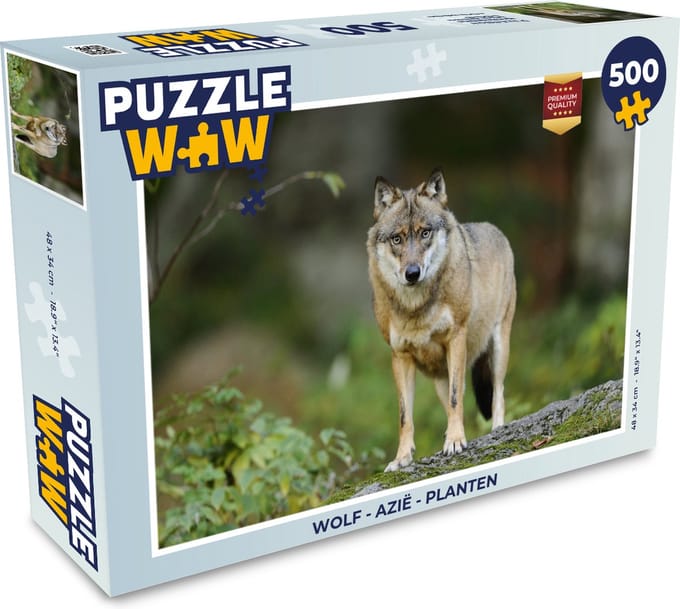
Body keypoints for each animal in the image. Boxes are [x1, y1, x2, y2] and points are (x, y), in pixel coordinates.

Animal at [367, 169, 516, 472]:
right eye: (397, 239)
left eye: (425, 232)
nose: (412, 273)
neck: (416, 308)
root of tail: (494, 229)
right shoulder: (400, 356)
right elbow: (405, 416)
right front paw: (402, 458)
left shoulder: (456, 337)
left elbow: (458, 398)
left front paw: (456, 443)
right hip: (438, 376)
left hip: (497, 348)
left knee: (498, 392)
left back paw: (496, 429)